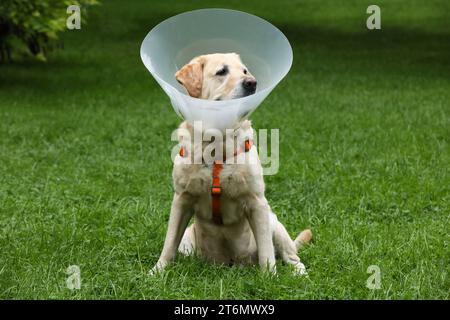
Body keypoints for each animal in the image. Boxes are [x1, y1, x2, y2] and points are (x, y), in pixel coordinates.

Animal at [149, 52, 312, 276]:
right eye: (222, 71)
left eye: (244, 70)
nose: (252, 82)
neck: (216, 145)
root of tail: (232, 263)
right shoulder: (181, 199)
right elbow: (169, 242)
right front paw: (157, 272)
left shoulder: (257, 202)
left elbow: (267, 252)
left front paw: (269, 277)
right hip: (188, 242)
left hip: (274, 222)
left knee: (291, 256)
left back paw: (299, 275)